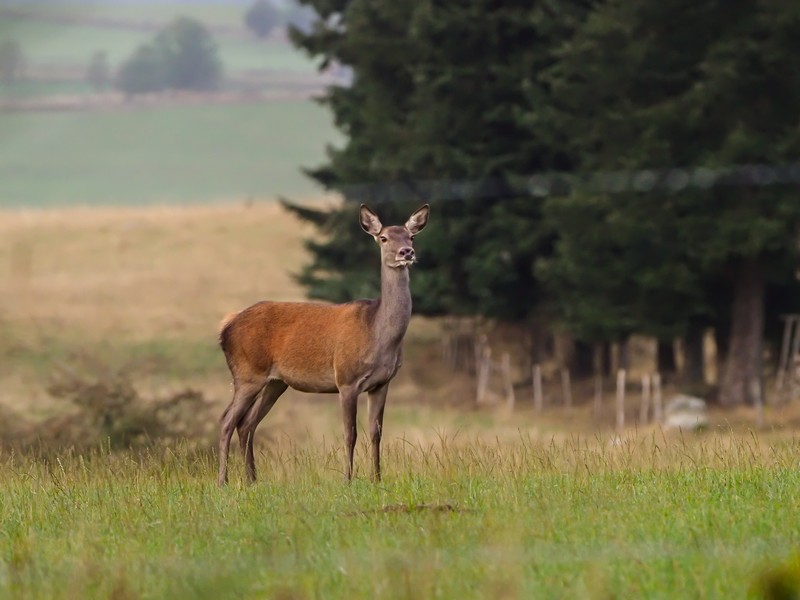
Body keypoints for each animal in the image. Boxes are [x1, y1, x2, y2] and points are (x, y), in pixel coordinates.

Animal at [217, 203, 430, 486]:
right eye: (384, 238)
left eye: (411, 236)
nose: (406, 252)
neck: (377, 333)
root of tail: (226, 326)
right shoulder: (346, 379)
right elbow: (350, 433)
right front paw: (348, 480)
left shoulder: (382, 383)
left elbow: (376, 432)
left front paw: (376, 479)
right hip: (247, 373)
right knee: (227, 420)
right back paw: (223, 481)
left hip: (275, 382)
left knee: (247, 423)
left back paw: (253, 480)